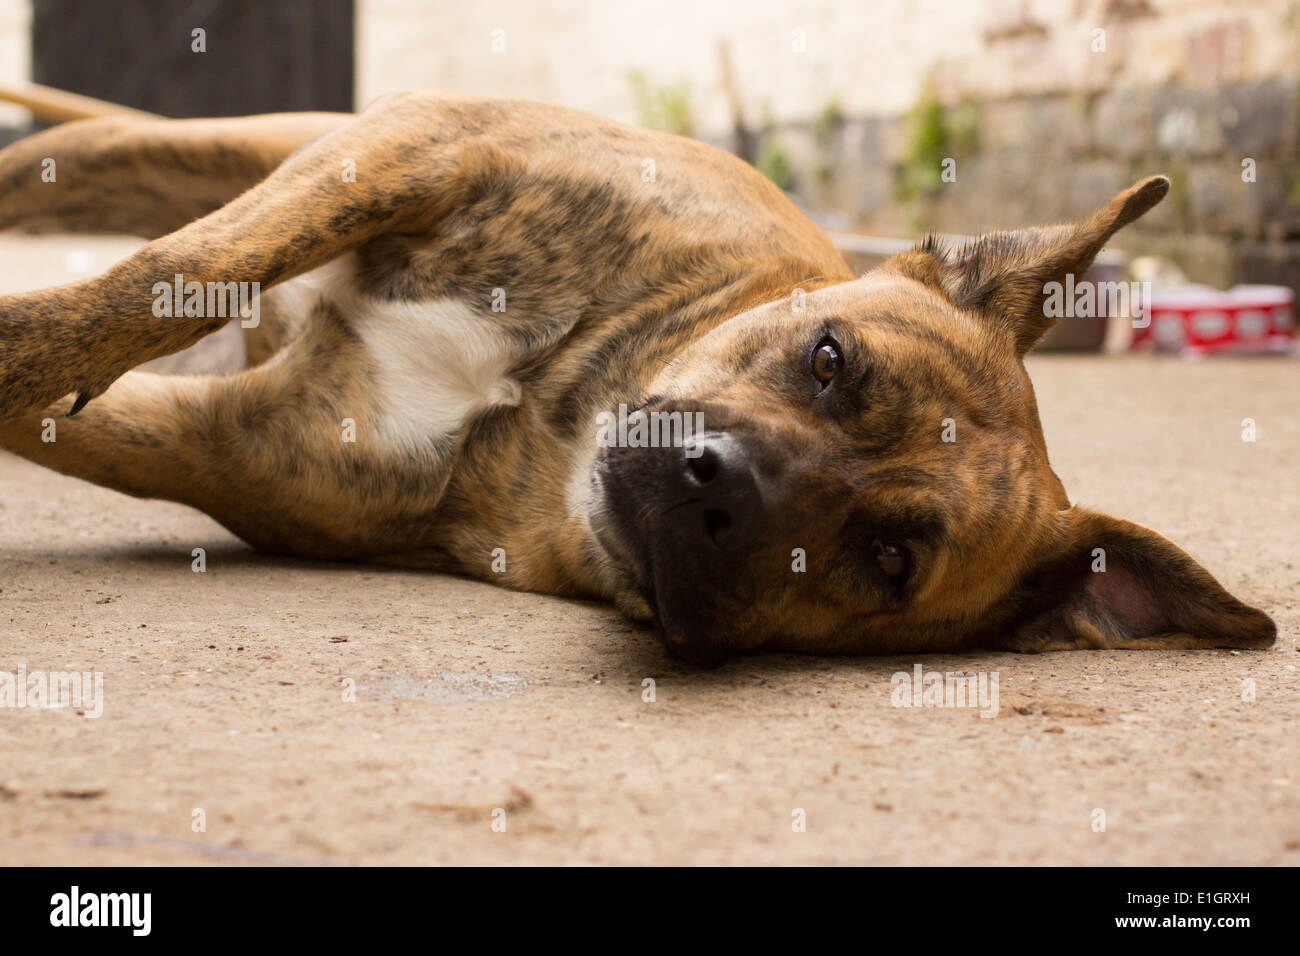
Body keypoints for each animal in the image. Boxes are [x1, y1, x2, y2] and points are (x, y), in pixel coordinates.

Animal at [0, 95, 1279, 665]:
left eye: (889, 559)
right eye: (829, 359)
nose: (718, 486)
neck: (546, 410)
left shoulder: (210, 439)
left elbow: (63, 405)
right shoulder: (416, 156)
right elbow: (170, 270)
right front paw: (33, 339)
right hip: (248, 145)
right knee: (81, 178)